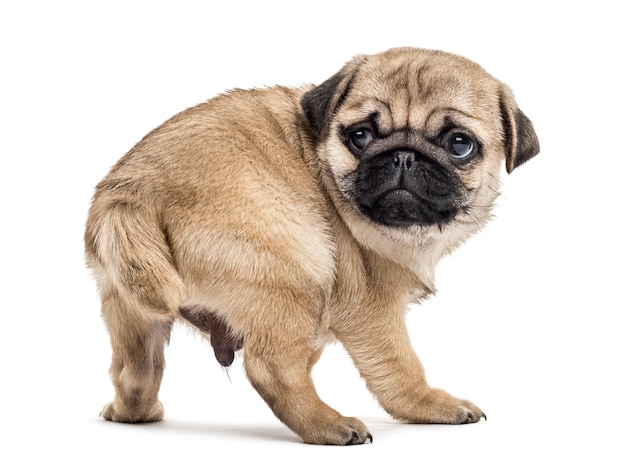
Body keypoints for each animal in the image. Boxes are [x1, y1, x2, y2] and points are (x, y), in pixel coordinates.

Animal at [85, 45, 540, 444]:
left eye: (459, 144)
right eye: (360, 136)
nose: (404, 156)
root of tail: (133, 192)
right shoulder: (374, 309)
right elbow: (400, 370)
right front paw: (431, 404)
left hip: (130, 307)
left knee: (135, 372)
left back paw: (132, 412)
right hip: (293, 271)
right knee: (270, 368)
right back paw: (328, 426)